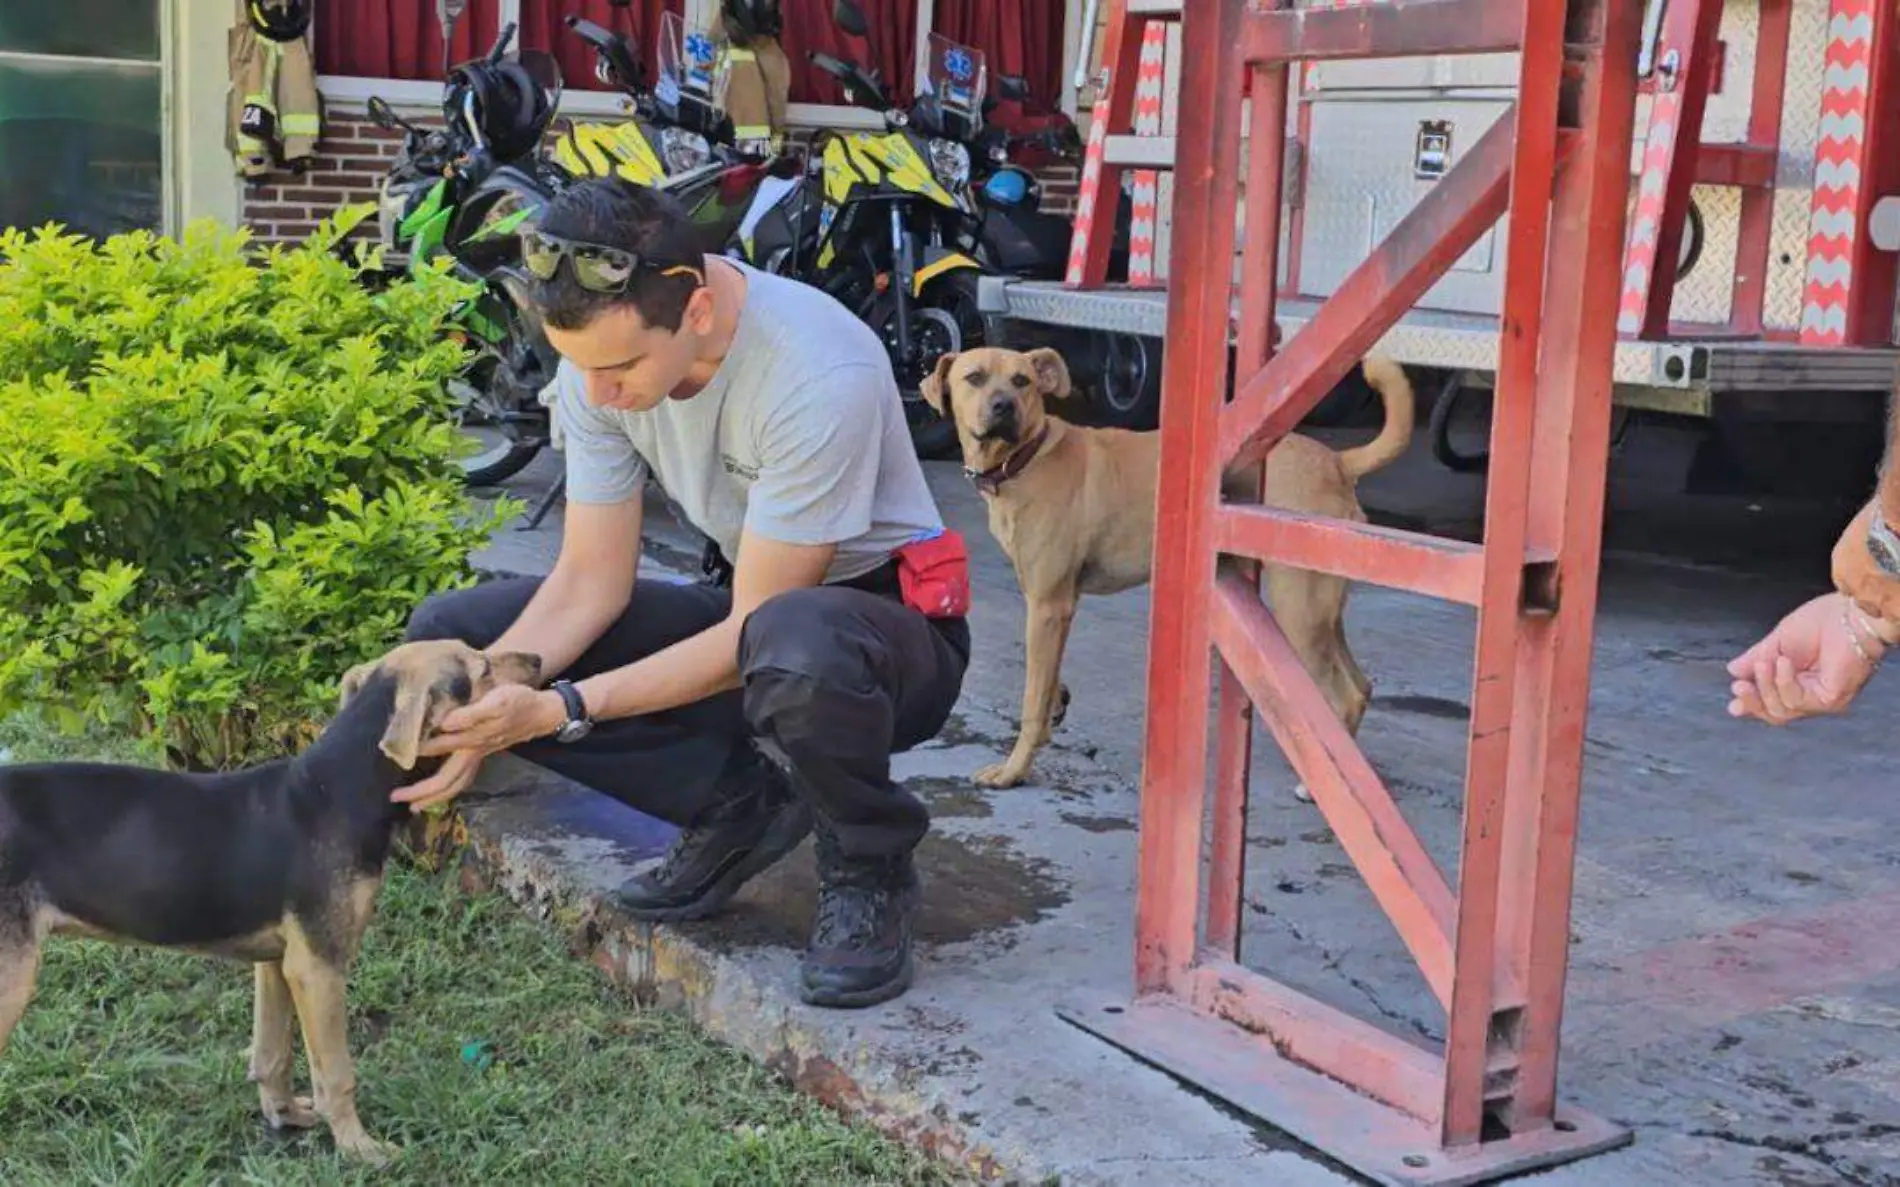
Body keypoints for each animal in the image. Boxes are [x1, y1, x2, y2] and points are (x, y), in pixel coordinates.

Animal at [0, 641, 543, 1162]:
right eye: (482, 668)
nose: (538, 660)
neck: (337, 790)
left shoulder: (279, 961)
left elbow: (272, 1054)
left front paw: (285, 1116)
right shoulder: (319, 966)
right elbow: (337, 1074)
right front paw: (360, 1148)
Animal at [919, 345, 1413, 786]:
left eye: (1021, 380)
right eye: (975, 377)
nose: (1003, 406)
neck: (1027, 456)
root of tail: (1336, 461)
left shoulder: (1047, 604)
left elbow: (1031, 698)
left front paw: (1014, 770)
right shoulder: (1056, 606)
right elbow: (1047, 683)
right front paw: (1053, 710)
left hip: (1299, 609)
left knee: (1345, 693)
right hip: (1322, 607)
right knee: (1362, 685)